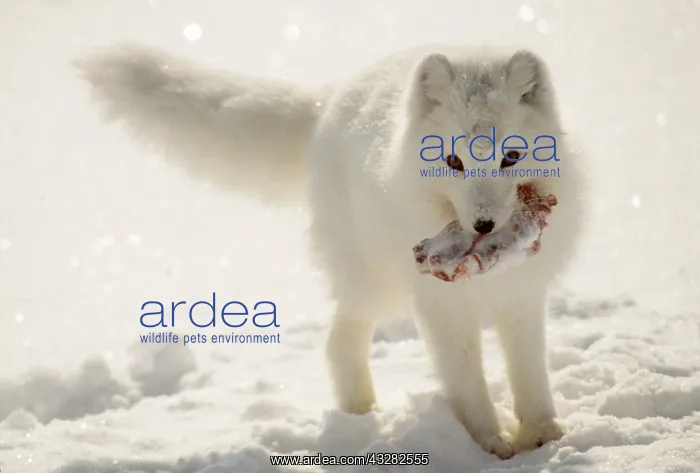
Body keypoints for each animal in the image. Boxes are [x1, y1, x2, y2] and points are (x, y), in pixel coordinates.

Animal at [75, 43, 585, 459]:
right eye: (452, 161)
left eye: (511, 157)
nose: (483, 224)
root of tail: (332, 98)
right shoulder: (440, 306)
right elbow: (465, 381)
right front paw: (489, 444)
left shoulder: (522, 295)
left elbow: (530, 371)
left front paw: (542, 436)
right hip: (376, 283)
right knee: (338, 342)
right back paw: (360, 416)